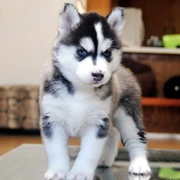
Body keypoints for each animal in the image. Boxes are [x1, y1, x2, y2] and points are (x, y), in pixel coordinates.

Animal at [39, 3, 150, 180]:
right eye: (81, 51)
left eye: (107, 53)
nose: (99, 75)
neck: (80, 90)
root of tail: (125, 69)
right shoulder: (52, 119)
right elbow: (56, 150)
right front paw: (58, 171)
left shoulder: (97, 123)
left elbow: (89, 153)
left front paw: (80, 173)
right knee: (112, 135)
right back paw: (105, 159)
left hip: (129, 114)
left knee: (135, 138)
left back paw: (139, 164)